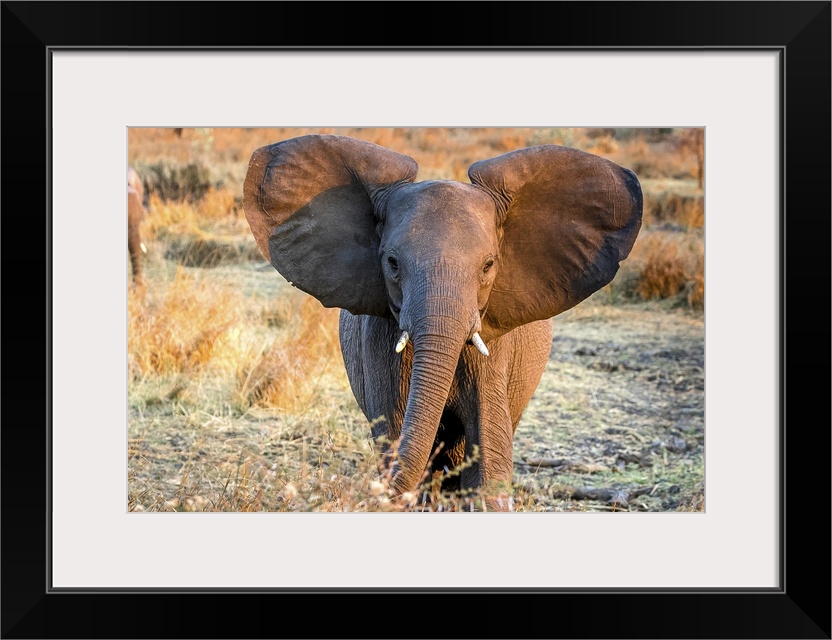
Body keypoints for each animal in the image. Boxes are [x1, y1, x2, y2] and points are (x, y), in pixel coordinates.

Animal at [240, 135, 644, 510]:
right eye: (392, 263)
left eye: (489, 265)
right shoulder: (380, 337)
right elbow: (397, 431)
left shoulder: (494, 345)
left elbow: (488, 452)